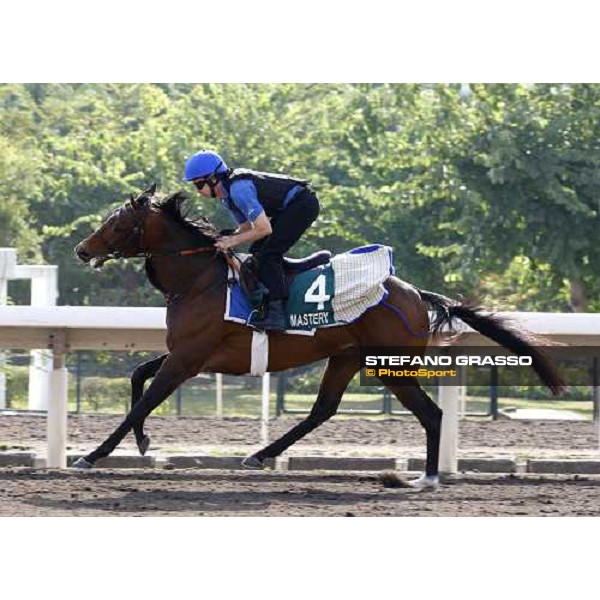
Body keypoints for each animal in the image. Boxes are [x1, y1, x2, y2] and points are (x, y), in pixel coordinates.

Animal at [72, 184, 564, 488]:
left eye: (116, 223)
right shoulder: (188, 355)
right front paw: (141, 441)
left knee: (431, 414)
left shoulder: (188, 358)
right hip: (346, 357)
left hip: (390, 365)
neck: (200, 280)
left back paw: (427, 477)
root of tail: (414, 292)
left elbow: (142, 401)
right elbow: (138, 378)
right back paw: (260, 454)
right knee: (323, 409)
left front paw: (93, 454)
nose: (81, 249)